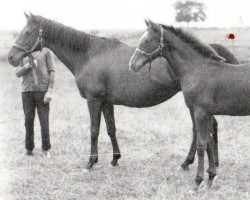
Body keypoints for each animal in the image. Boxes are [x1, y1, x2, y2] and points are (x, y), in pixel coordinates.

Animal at [7, 14, 237, 173]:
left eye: (27, 32)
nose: (10, 57)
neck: (89, 54)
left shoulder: (94, 100)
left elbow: (94, 130)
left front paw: (90, 163)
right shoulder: (106, 102)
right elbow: (111, 129)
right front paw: (115, 159)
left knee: (203, 129)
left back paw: (189, 163)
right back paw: (208, 163)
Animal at [130, 19, 249, 191]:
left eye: (147, 40)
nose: (132, 65)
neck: (196, 69)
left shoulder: (200, 112)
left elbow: (201, 145)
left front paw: (197, 182)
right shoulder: (204, 113)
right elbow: (208, 143)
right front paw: (210, 177)